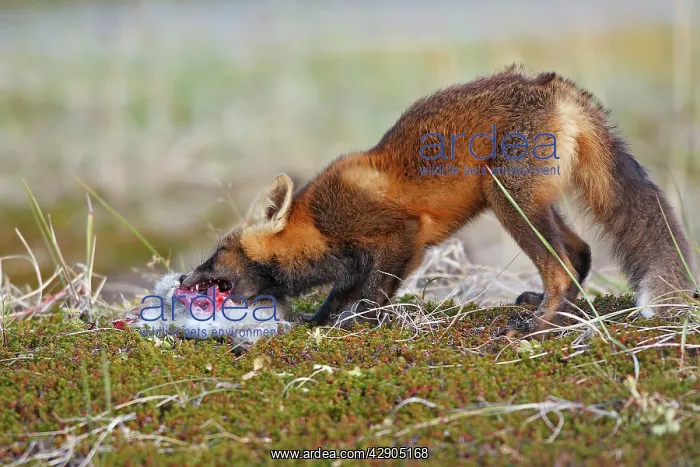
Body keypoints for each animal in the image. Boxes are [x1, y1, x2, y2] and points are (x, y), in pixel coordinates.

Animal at [180, 65, 698, 337]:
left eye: (215, 253)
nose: (183, 279)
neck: (319, 225)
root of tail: (553, 86)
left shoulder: (400, 237)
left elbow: (371, 292)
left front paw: (357, 322)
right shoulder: (354, 261)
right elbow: (339, 293)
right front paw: (322, 318)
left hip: (505, 196)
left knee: (563, 265)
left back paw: (539, 322)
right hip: (531, 200)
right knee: (582, 251)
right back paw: (555, 307)